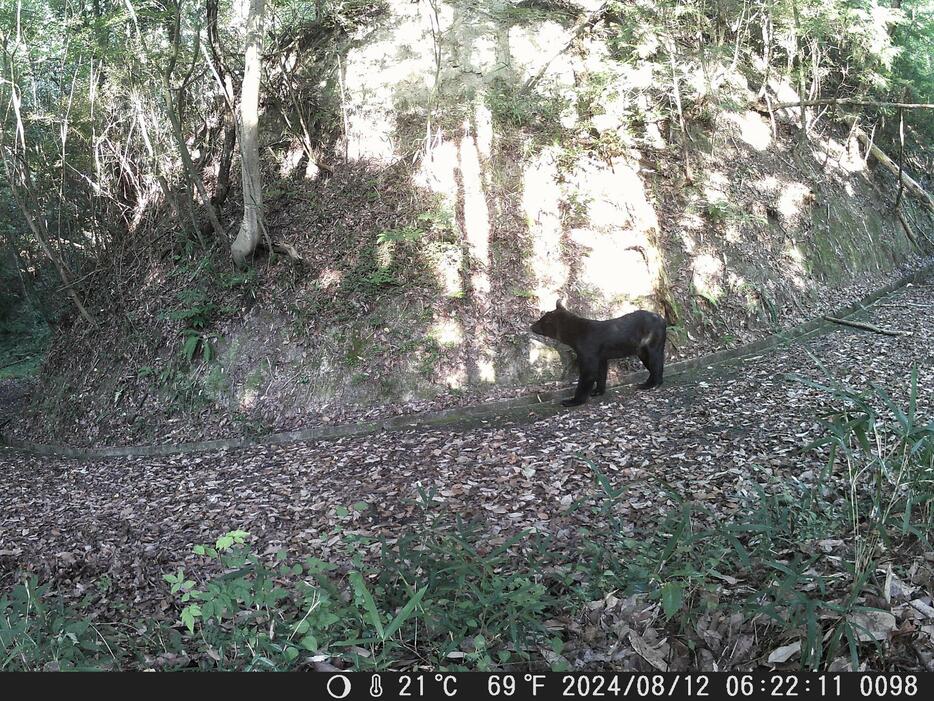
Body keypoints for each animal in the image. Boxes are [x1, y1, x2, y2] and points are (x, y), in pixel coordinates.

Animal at [532, 300, 668, 404]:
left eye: (541, 321)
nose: (531, 326)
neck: (576, 335)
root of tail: (662, 320)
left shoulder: (588, 356)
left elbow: (587, 378)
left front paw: (573, 401)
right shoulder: (601, 358)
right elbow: (601, 375)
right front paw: (597, 392)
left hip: (651, 347)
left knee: (656, 365)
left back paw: (649, 385)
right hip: (643, 352)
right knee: (655, 366)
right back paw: (647, 383)